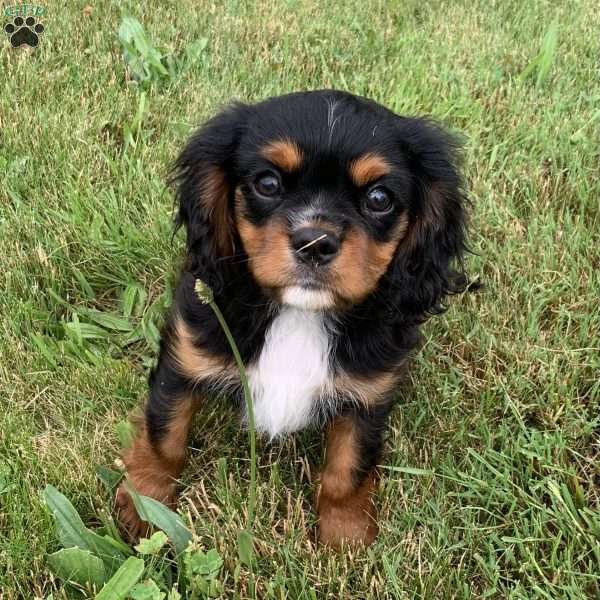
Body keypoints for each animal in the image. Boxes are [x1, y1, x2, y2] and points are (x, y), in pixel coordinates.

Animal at [115, 90, 466, 548]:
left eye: (379, 198)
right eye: (267, 183)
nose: (314, 242)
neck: (300, 313)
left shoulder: (368, 395)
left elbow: (348, 468)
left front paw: (345, 536)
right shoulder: (185, 356)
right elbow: (165, 435)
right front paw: (145, 504)